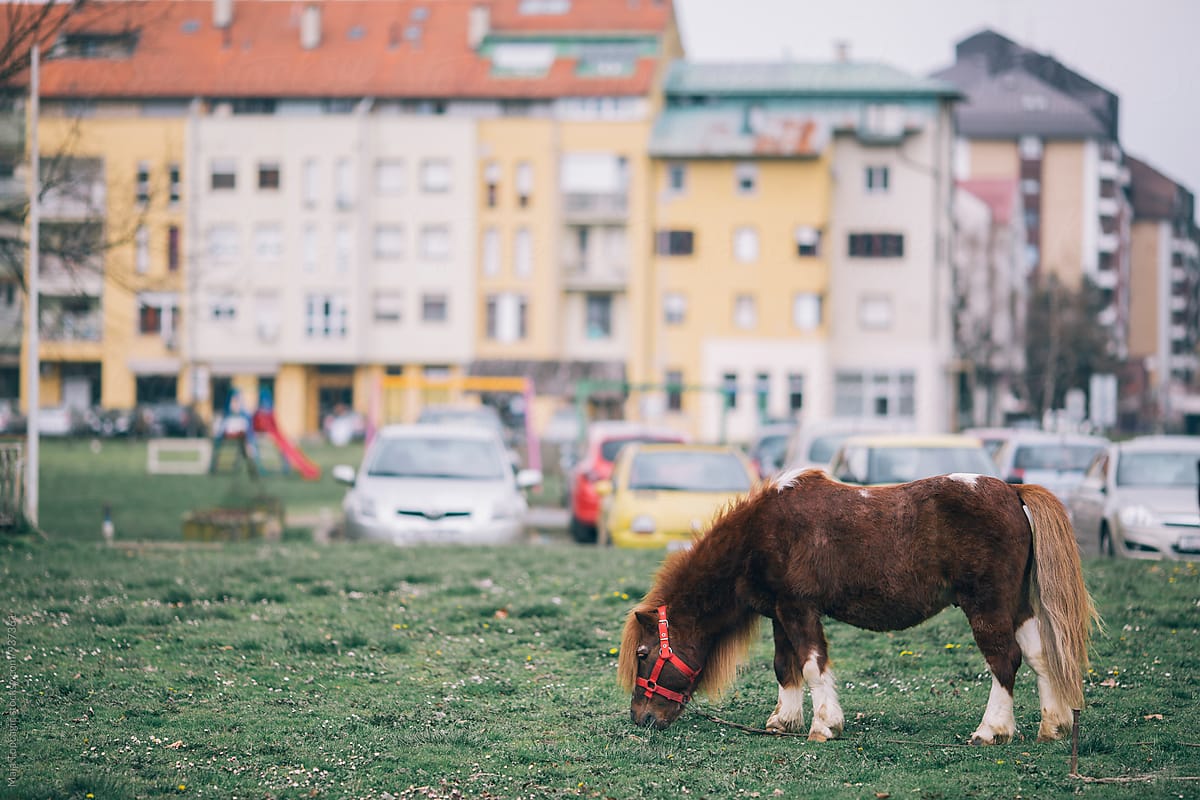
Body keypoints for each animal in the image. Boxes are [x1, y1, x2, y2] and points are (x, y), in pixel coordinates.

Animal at [618, 469, 1099, 744]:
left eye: (643, 654)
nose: (641, 718)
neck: (760, 535)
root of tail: (1013, 491)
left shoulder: (799, 610)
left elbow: (812, 667)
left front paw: (823, 726)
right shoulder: (780, 614)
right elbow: (784, 667)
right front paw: (783, 721)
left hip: (987, 606)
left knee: (1005, 661)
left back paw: (990, 730)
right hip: (1015, 607)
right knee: (1039, 656)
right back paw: (1053, 726)